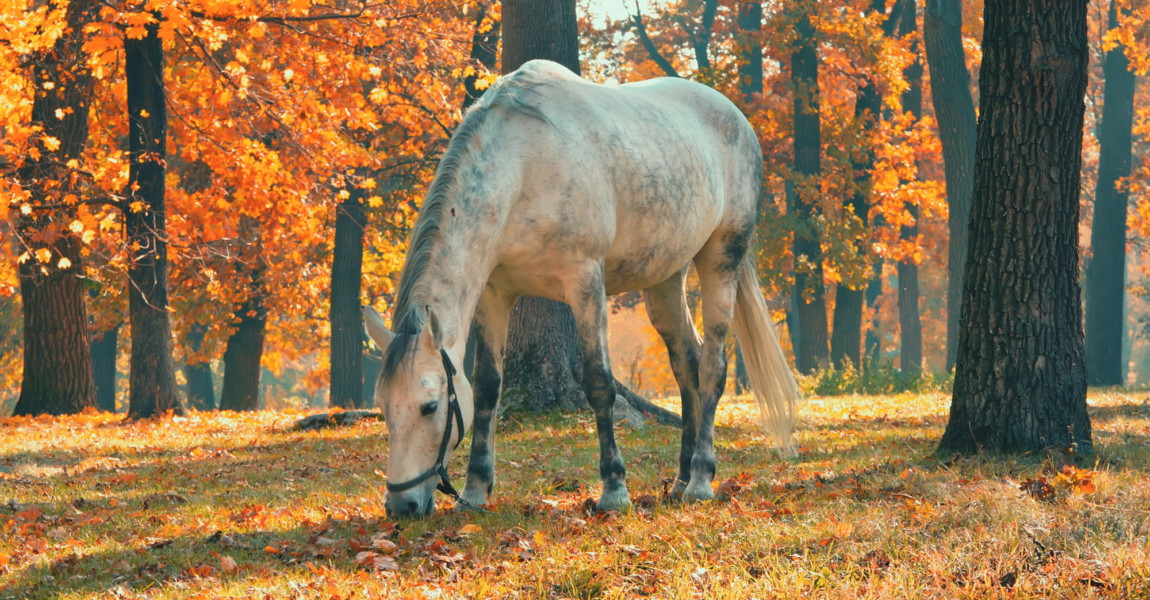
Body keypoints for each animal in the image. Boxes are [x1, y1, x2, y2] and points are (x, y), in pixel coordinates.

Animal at [363, 61, 795, 517]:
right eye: (384, 407)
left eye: (429, 406)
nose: (401, 505)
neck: (523, 163)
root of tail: (736, 118)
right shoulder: (494, 294)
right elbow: (486, 387)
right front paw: (477, 489)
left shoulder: (585, 281)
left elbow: (599, 383)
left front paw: (614, 488)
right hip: (664, 278)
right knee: (687, 365)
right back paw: (679, 479)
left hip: (722, 258)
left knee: (712, 367)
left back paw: (700, 479)